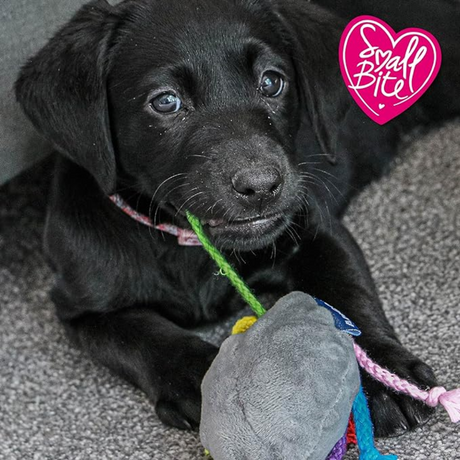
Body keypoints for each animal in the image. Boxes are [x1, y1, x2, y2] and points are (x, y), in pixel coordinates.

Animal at [14, 0, 460, 438]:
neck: (183, 245)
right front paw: (209, 385)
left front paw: (384, 377)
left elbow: (348, 298)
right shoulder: (81, 309)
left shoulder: (318, 231)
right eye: (166, 101)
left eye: (272, 82)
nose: (261, 185)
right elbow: (148, 338)